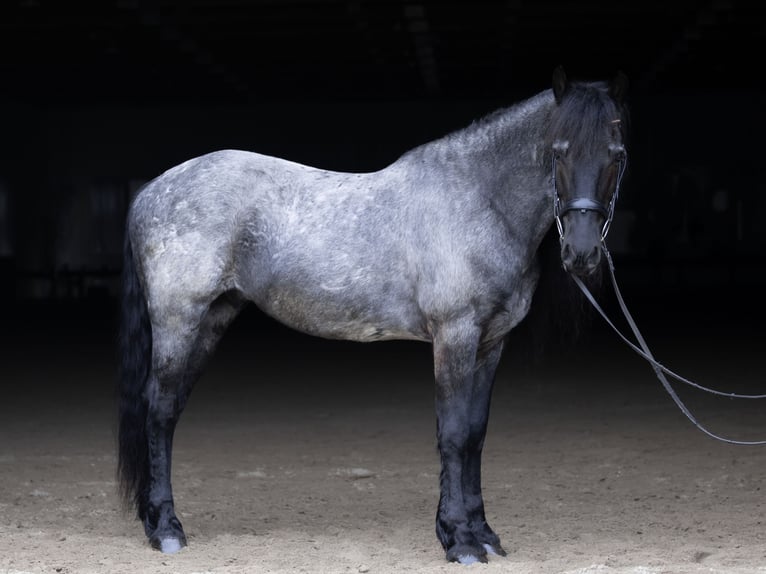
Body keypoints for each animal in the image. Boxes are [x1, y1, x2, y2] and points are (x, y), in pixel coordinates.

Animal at [117, 66, 629, 564]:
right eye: (559, 152)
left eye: (617, 155)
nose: (582, 254)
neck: (479, 199)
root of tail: (152, 190)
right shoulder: (455, 336)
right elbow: (453, 433)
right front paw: (460, 541)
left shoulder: (490, 343)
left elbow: (476, 435)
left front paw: (484, 534)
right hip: (178, 321)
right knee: (159, 411)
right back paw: (167, 530)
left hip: (212, 319)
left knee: (170, 411)